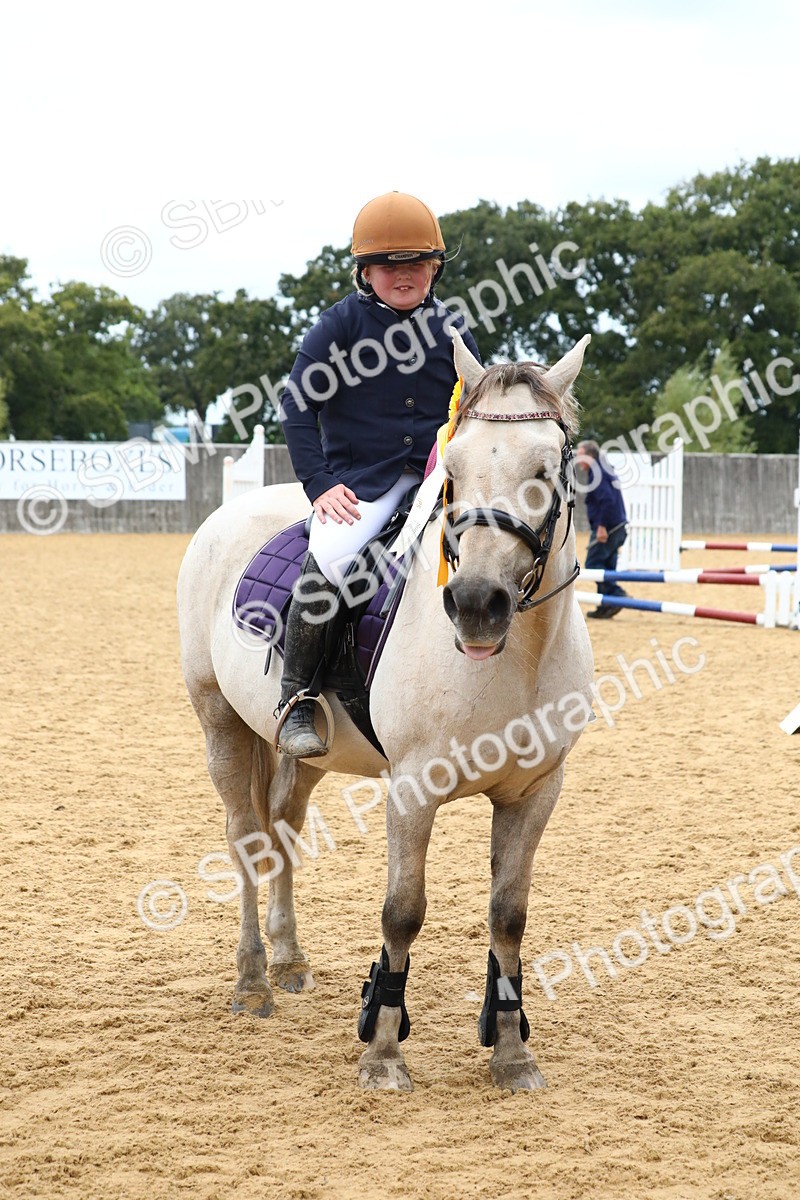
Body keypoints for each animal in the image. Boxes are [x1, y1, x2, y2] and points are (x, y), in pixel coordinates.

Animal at [177, 331, 595, 1091]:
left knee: (283, 826)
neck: (512, 656)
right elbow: (403, 913)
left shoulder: (535, 791)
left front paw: (512, 1053)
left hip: (308, 750)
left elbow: (509, 916)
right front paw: (382, 1052)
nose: (477, 604)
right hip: (219, 720)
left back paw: (289, 960)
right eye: (452, 470)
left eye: (548, 469)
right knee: (246, 837)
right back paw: (252, 982)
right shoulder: (413, 789)